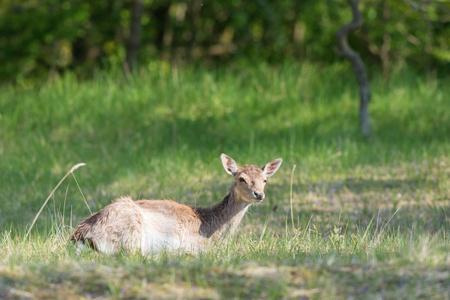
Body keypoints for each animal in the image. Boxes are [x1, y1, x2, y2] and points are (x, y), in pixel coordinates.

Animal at [69, 155, 282, 255]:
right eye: (241, 179)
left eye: (265, 180)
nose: (259, 194)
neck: (212, 230)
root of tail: (80, 236)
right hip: (131, 231)